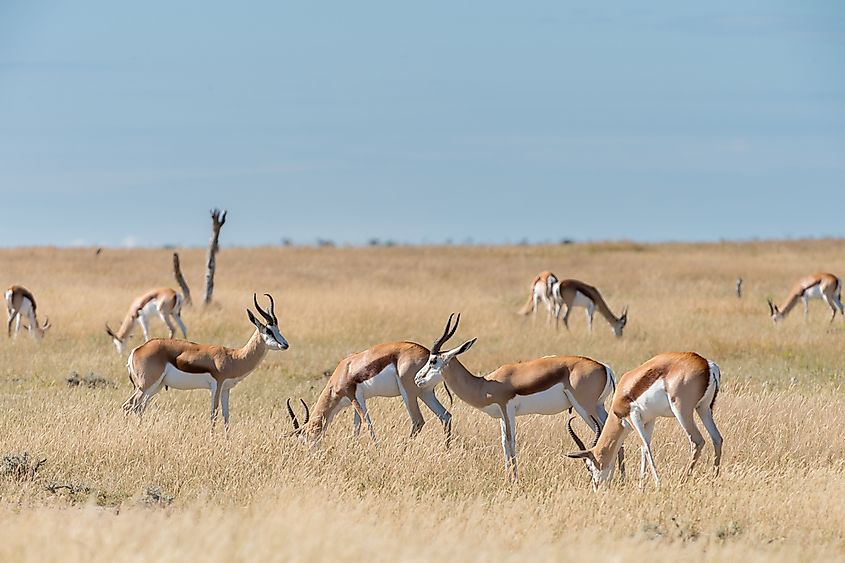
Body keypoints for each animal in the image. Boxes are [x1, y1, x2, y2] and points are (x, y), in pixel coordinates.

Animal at [121, 296, 286, 428]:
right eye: (268, 331)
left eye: (278, 329)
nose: (285, 345)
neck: (233, 358)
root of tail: (137, 349)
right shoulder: (216, 386)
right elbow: (214, 414)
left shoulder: (226, 389)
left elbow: (226, 416)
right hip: (146, 385)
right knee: (129, 406)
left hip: (156, 386)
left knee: (139, 407)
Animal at [286, 342, 454, 448]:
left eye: (304, 439)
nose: (312, 454)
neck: (344, 370)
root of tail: (428, 353)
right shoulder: (358, 401)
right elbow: (357, 426)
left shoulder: (354, 396)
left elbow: (368, 424)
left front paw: (377, 450)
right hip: (425, 393)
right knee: (445, 415)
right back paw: (446, 450)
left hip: (409, 393)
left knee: (418, 421)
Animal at [410, 312, 620, 480]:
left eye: (433, 360)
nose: (417, 378)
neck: (485, 384)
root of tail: (605, 367)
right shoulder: (502, 416)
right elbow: (504, 442)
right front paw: (508, 477)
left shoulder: (507, 408)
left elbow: (511, 441)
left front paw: (515, 479)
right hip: (598, 407)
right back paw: (619, 479)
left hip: (584, 408)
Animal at [564, 352, 724, 490]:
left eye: (589, 466)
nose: (596, 487)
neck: (623, 393)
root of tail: (708, 364)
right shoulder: (649, 420)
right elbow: (643, 448)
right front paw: (641, 486)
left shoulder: (632, 416)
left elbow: (645, 445)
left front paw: (657, 483)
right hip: (703, 408)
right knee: (717, 438)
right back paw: (714, 480)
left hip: (682, 410)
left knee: (697, 441)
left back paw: (683, 481)